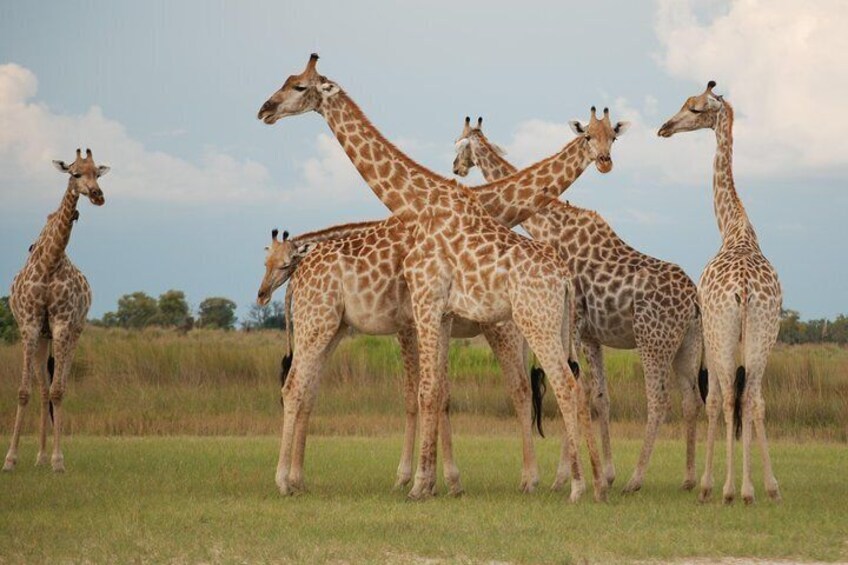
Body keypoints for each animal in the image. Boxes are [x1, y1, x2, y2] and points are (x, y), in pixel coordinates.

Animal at [3, 149, 109, 472]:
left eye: (97, 174)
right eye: (75, 174)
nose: (98, 195)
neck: (50, 261)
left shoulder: (62, 324)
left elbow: (58, 391)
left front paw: (58, 460)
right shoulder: (29, 324)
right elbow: (24, 391)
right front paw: (10, 459)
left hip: (73, 333)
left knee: (56, 386)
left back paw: (45, 456)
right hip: (42, 338)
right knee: (41, 389)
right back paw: (37, 456)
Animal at [255, 54, 628, 502]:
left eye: (298, 87)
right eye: (589, 136)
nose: (265, 110)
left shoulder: (430, 310)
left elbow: (429, 391)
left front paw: (426, 481)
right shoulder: (429, 314)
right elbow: (432, 392)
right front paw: (433, 479)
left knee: (557, 388)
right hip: (327, 326)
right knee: (301, 387)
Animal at [454, 115, 704, 494]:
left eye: (460, 143)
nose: (456, 167)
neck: (550, 226)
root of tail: (694, 300)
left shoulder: (574, 325)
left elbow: (575, 388)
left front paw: (565, 477)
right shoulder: (591, 336)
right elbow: (599, 396)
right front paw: (605, 473)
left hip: (653, 341)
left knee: (660, 400)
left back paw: (636, 479)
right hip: (686, 344)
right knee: (691, 399)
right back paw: (690, 479)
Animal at [660, 80, 784, 502]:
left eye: (695, 108)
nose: (664, 128)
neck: (734, 227)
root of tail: (744, 290)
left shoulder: (711, 339)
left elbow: (713, 401)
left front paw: (708, 483)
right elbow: (750, 402)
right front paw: (765, 484)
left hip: (724, 336)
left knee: (730, 397)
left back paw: (733, 489)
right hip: (764, 334)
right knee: (754, 399)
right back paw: (760, 489)